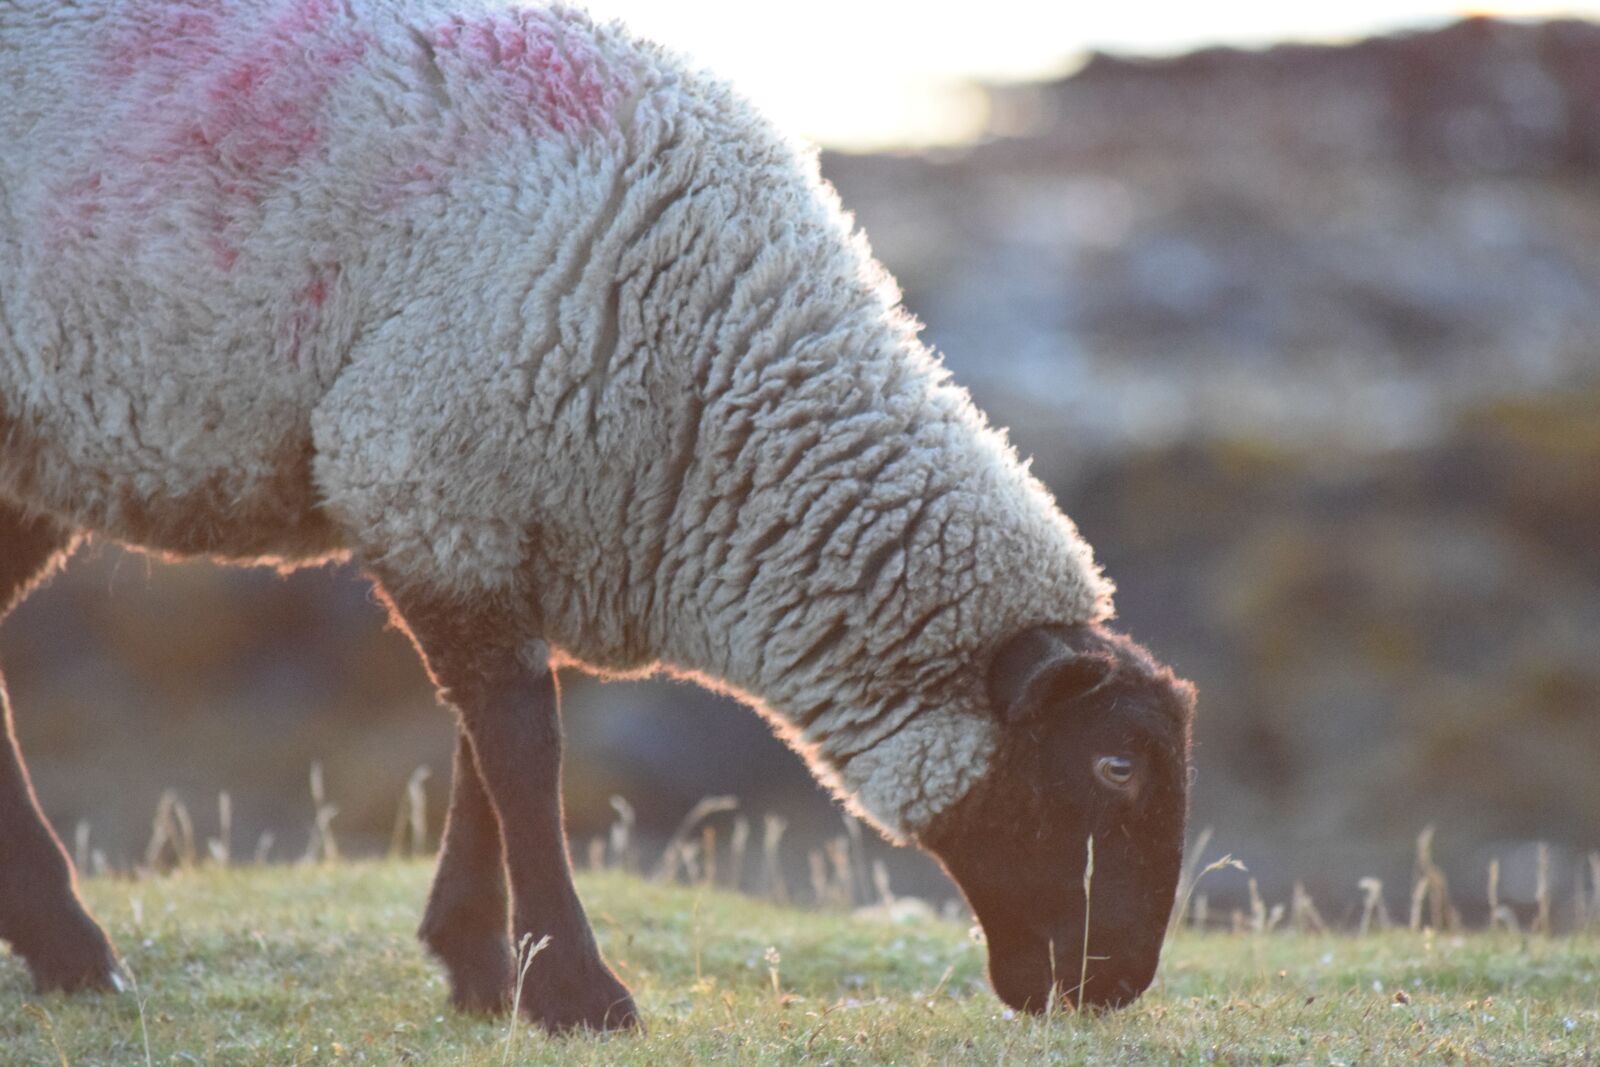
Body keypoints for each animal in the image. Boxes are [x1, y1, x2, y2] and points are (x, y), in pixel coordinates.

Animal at [0, 0, 1196, 1032]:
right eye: (1116, 765)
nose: (1115, 987)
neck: (714, 379)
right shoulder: (426, 479)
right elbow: (524, 746)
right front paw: (576, 991)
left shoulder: (519, 518)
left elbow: (487, 751)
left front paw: (483, 965)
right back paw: (74, 946)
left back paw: (63, 947)